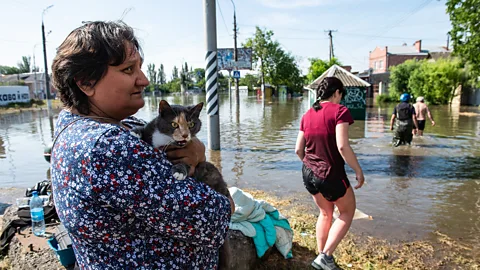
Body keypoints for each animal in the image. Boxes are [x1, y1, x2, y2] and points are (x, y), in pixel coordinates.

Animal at [129, 99, 231, 270]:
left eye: (191, 124)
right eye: (174, 124)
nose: (185, 135)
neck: (167, 140)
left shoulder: (188, 154)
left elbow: (186, 164)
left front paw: (178, 171)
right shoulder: (153, 128)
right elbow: (145, 129)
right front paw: (135, 131)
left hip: (208, 169)